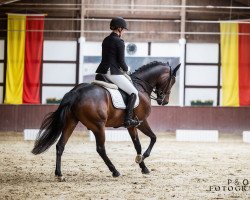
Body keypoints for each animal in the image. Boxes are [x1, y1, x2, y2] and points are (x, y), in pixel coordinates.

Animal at [31, 61, 180, 181]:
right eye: (172, 81)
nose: (164, 101)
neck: (141, 87)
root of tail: (75, 92)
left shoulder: (134, 125)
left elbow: (144, 141)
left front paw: (143, 165)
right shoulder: (139, 122)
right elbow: (147, 141)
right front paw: (142, 160)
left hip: (71, 122)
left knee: (60, 145)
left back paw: (59, 174)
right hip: (98, 126)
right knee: (101, 149)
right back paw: (115, 171)